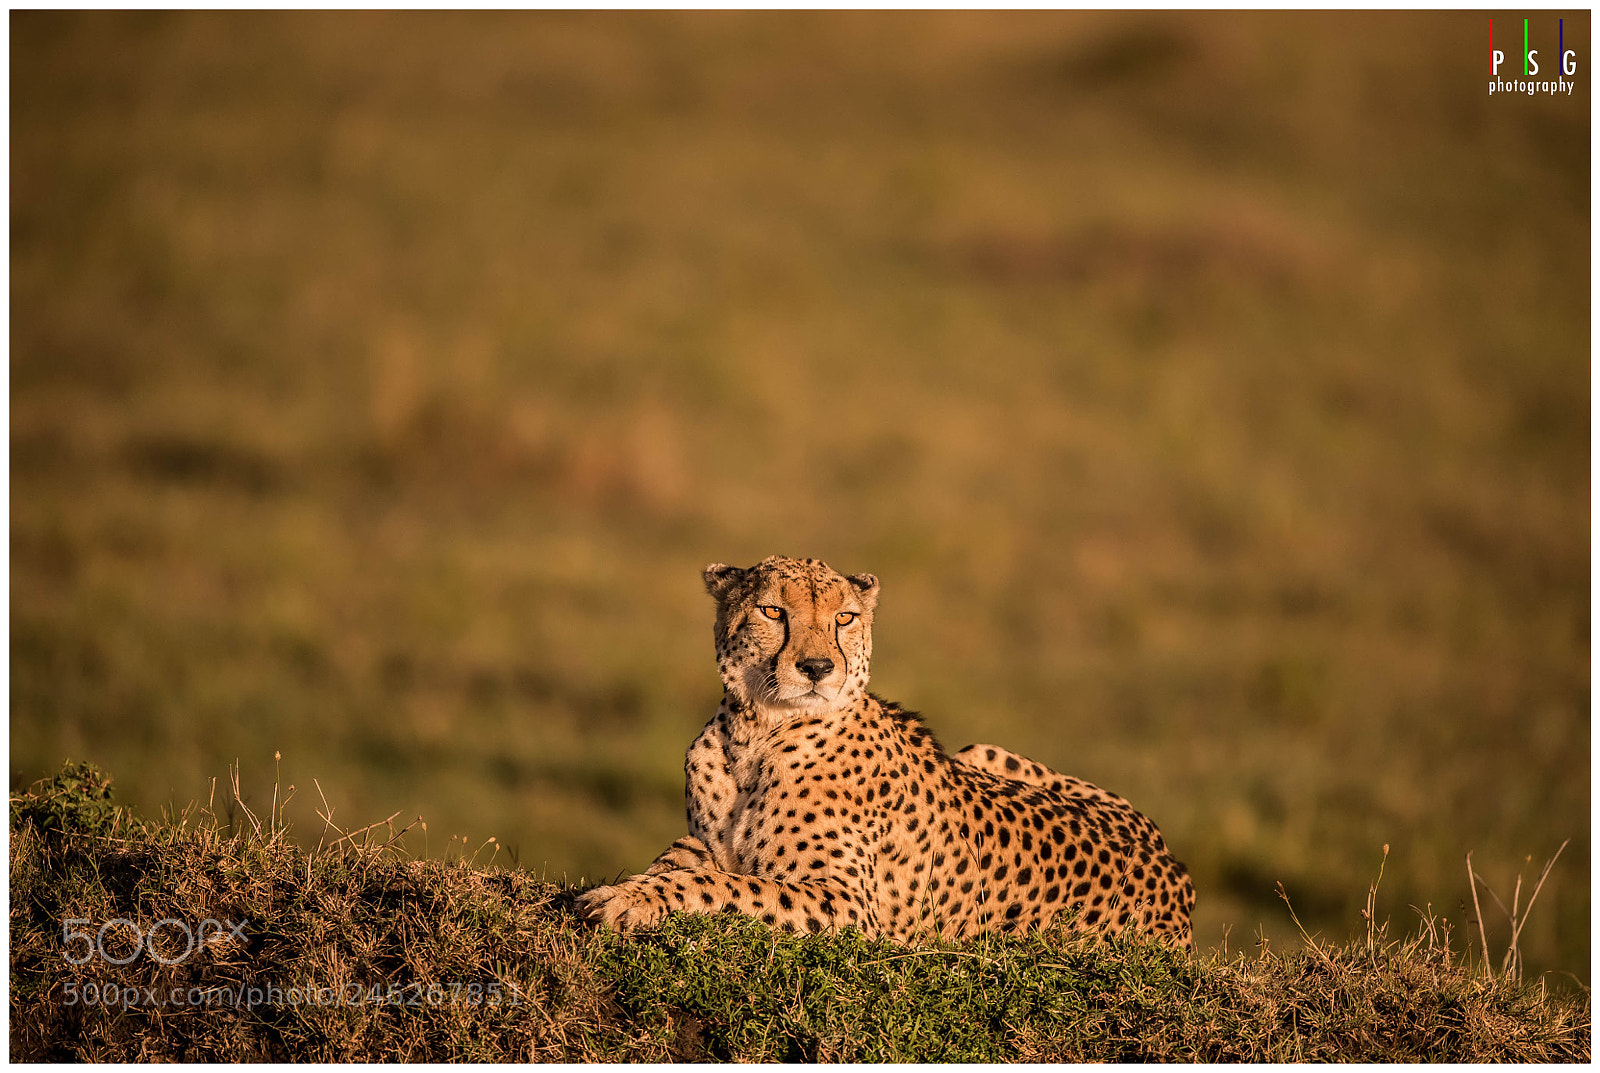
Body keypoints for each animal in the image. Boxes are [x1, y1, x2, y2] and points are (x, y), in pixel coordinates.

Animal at [575, 555, 1195, 948]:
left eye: (843, 617)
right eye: (773, 612)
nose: (817, 667)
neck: (757, 732)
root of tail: (1173, 867)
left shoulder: (849, 904)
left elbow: (725, 885)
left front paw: (627, 901)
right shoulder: (704, 841)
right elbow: (680, 862)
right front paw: (630, 887)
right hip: (978, 751)